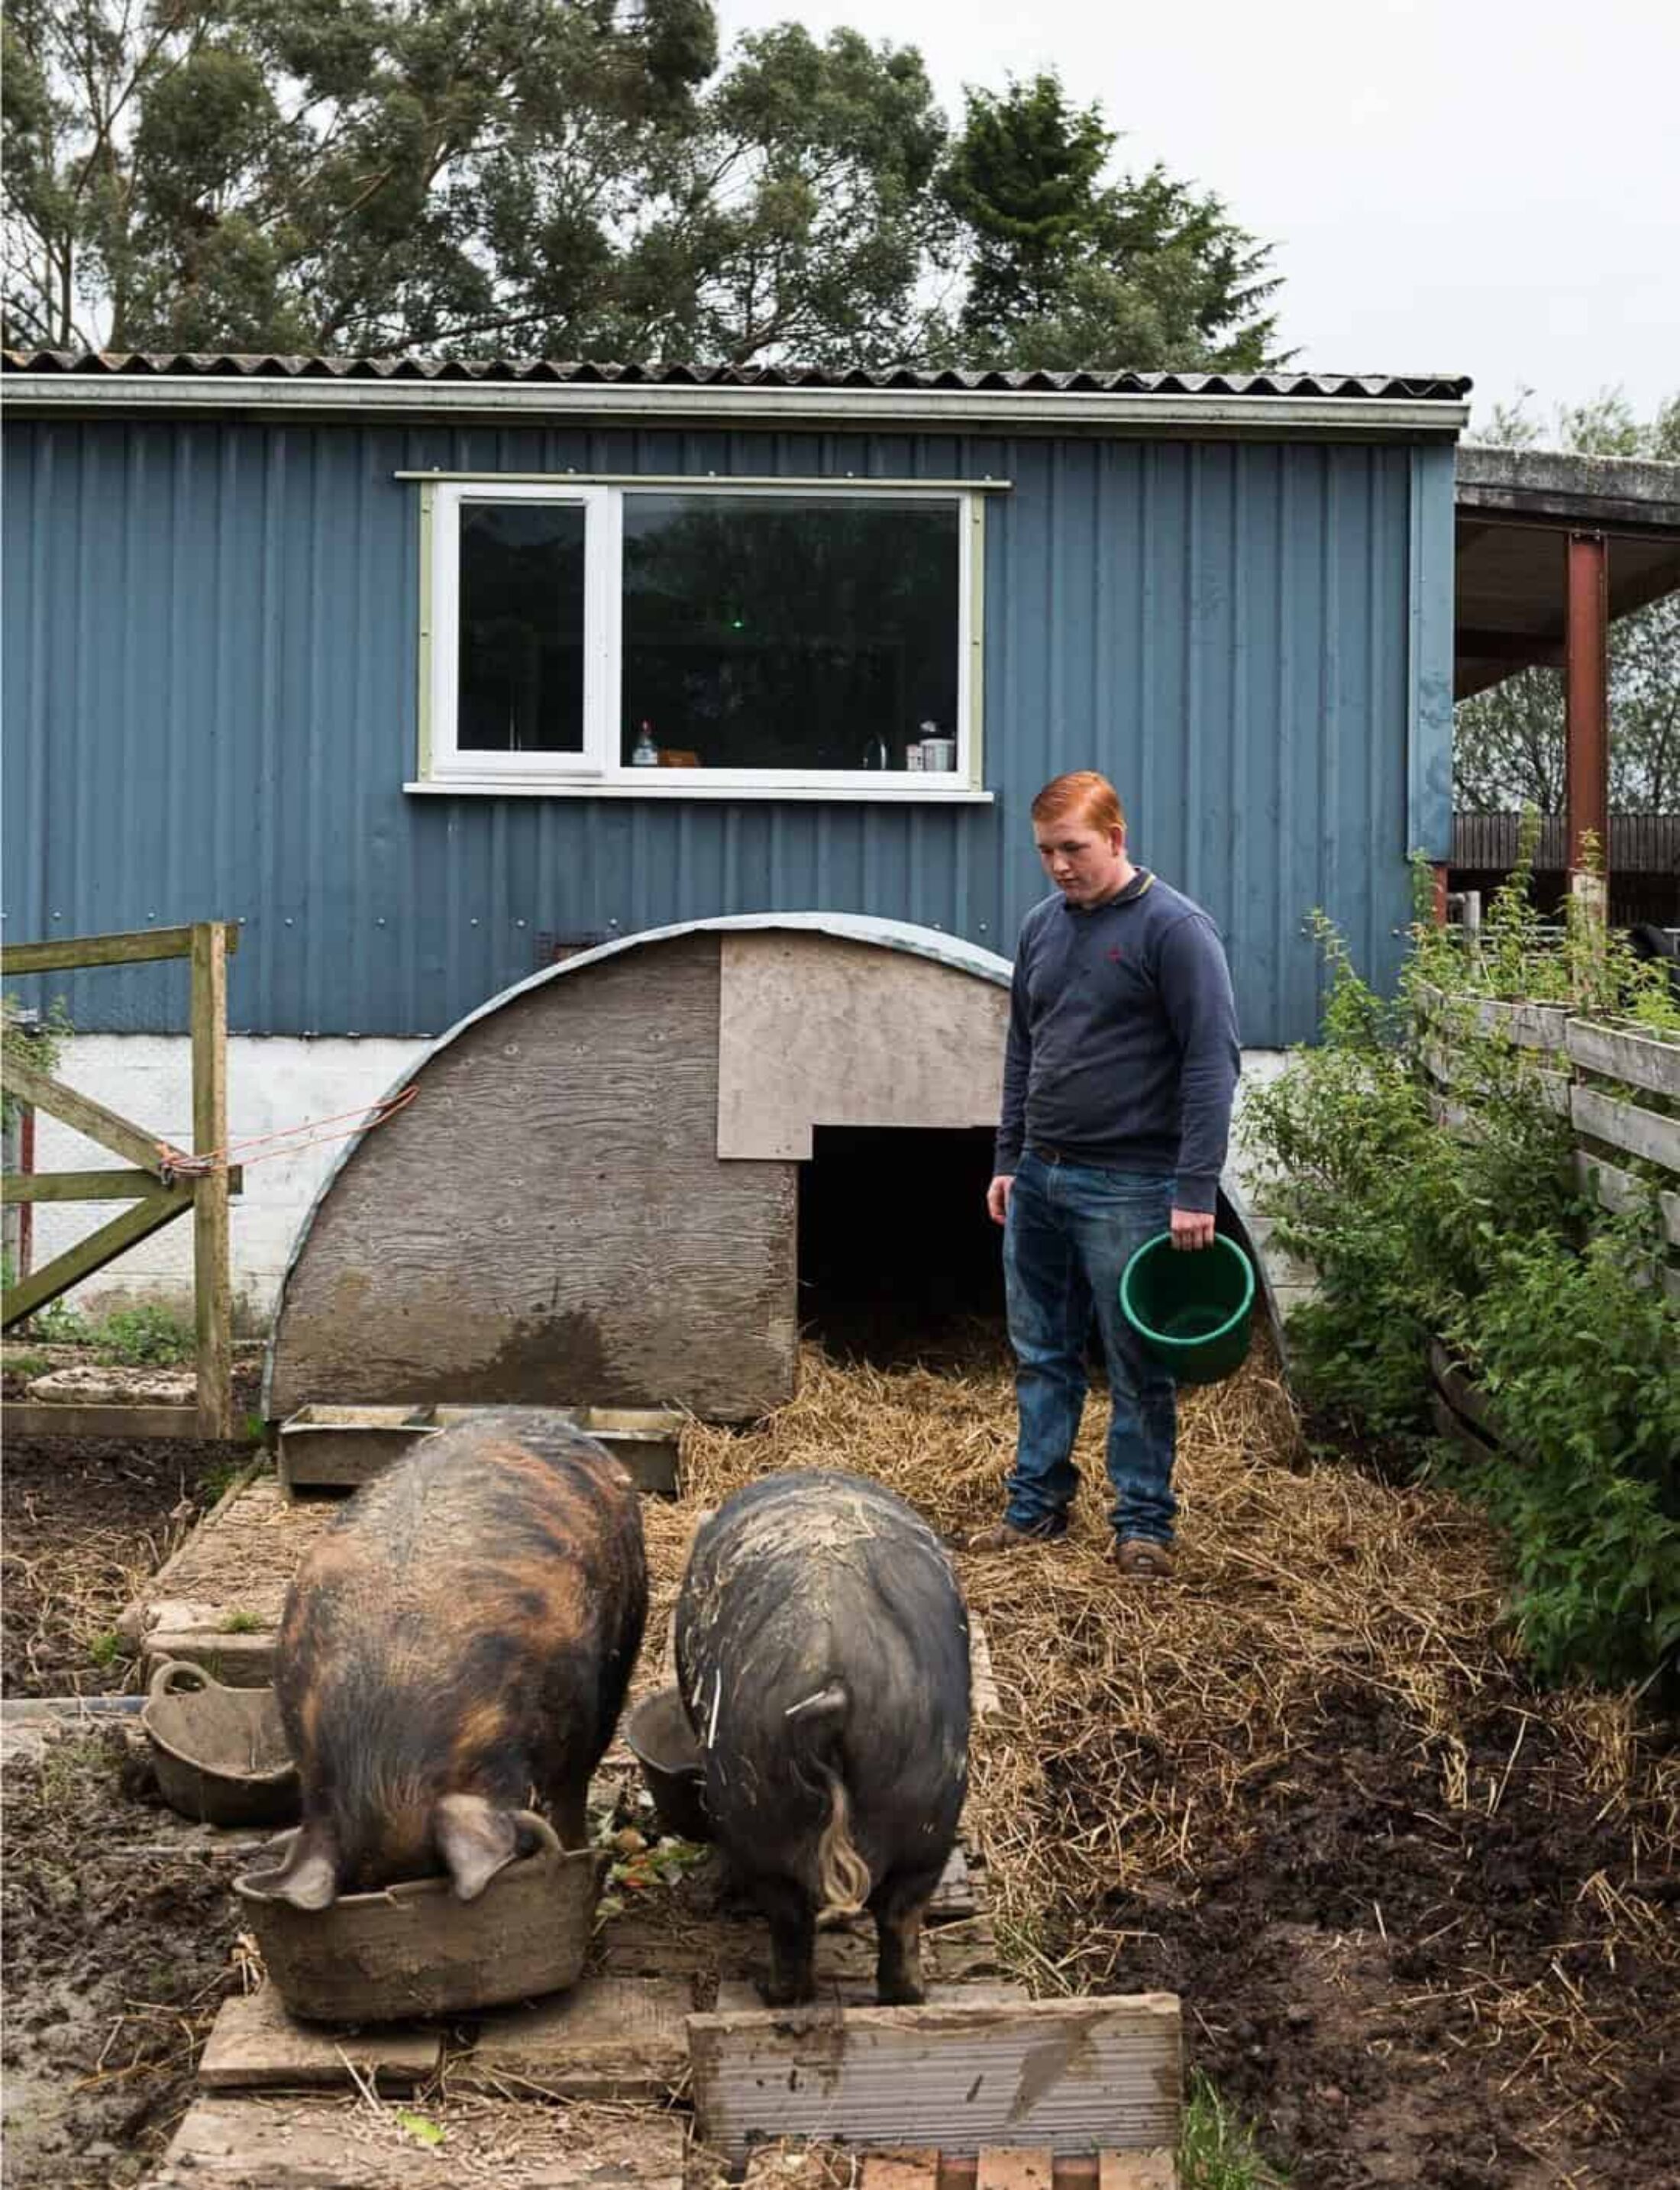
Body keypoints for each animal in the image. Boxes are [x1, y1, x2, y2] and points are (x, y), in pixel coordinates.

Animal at [674, 1471, 972, 2006]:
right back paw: (908, 1996)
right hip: (930, 1811)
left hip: (757, 1810)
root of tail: (835, 1679)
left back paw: (769, 1989)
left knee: (792, 1917)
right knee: (900, 1914)